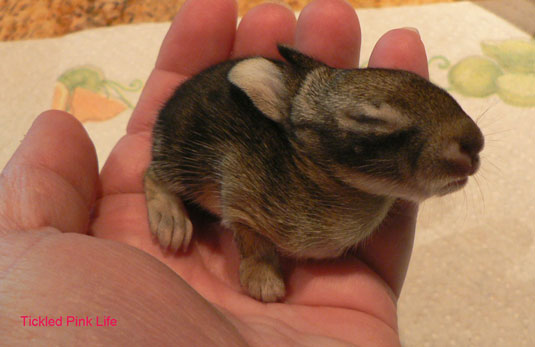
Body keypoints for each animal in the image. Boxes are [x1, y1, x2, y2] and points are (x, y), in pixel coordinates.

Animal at [144, 45, 484, 302]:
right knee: (153, 175)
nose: (475, 144)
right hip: (184, 160)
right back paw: (172, 227)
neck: (317, 172)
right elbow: (253, 243)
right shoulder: (239, 196)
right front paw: (265, 286)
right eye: (368, 119)